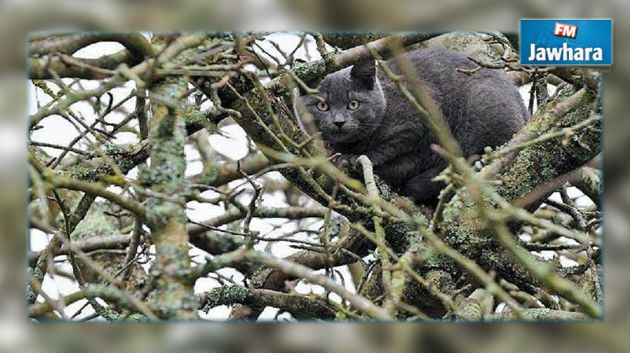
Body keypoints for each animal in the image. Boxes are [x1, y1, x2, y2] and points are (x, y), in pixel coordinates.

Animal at [296, 46, 528, 204]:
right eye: (323, 106)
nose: (339, 121)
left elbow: (390, 150)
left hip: (482, 107)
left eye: (353, 104)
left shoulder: (419, 119)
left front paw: (353, 159)